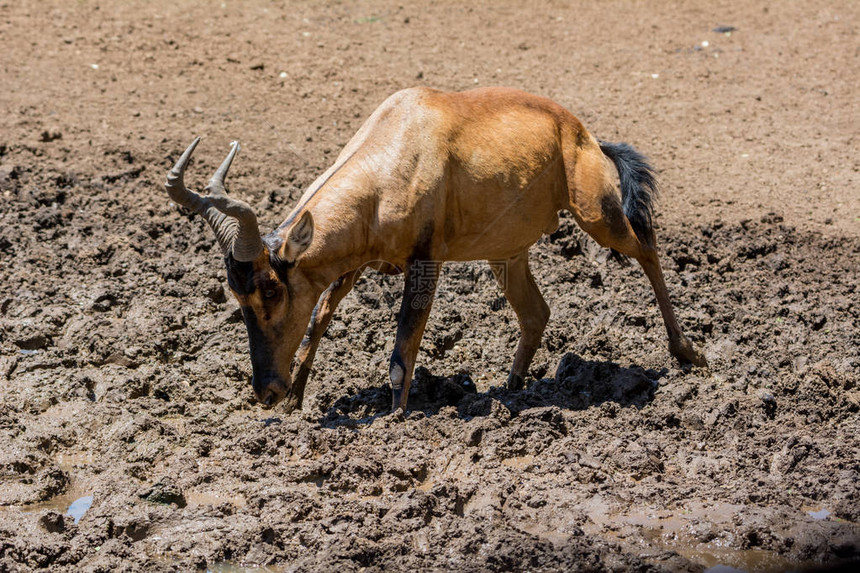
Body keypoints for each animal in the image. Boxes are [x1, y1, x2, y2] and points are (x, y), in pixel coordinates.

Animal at [165, 86, 708, 412]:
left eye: (272, 291)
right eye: (237, 296)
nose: (266, 391)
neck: (403, 138)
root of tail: (582, 132)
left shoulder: (425, 263)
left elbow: (403, 343)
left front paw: (395, 417)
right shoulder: (356, 263)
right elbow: (320, 317)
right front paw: (298, 399)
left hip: (596, 215)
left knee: (648, 250)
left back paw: (687, 353)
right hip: (506, 252)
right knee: (536, 312)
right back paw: (512, 389)